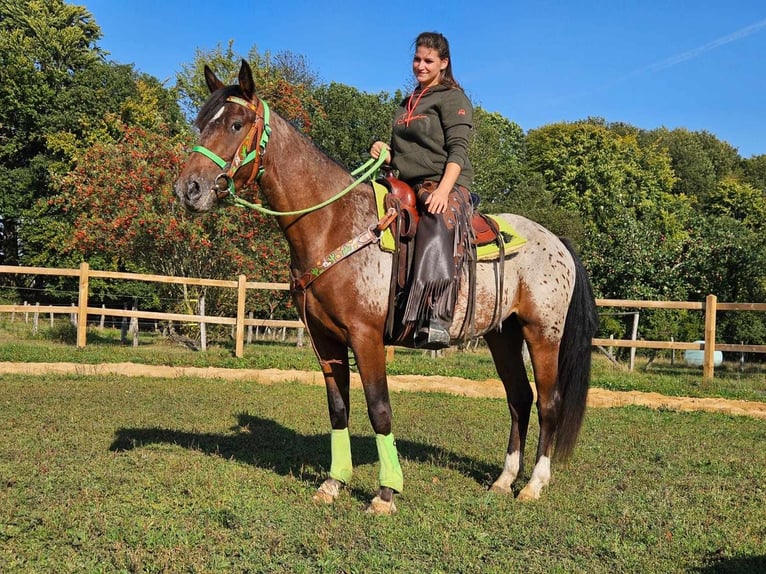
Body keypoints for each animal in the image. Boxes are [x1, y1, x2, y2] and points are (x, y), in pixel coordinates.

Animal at [174, 59, 600, 516]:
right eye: (201, 122)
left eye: (236, 124)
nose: (189, 189)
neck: (334, 221)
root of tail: (558, 242)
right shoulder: (324, 339)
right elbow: (338, 409)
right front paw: (333, 482)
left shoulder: (366, 336)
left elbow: (379, 409)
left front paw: (385, 493)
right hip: (502, 335)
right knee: (519, 399)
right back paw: (504, 480)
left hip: (543, 334)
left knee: (548, 403)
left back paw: (534, 484)